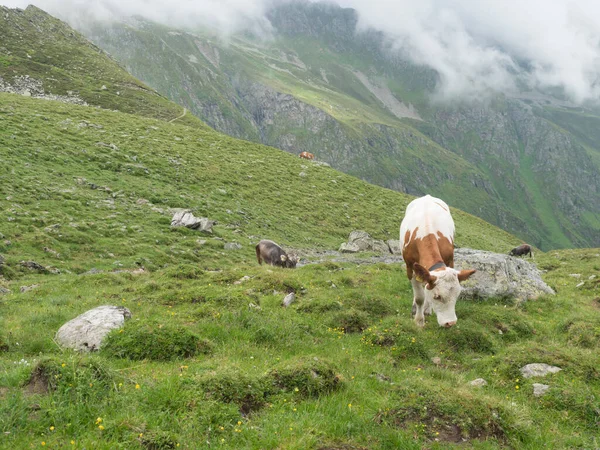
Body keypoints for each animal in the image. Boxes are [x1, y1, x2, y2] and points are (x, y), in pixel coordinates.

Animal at [400, 195, 476, 328]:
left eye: (457, 295)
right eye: (437, 296)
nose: (450, 323)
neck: (425, 233)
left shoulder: (450, 261)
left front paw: (425, 311)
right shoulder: (410, 267)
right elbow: (419, 297)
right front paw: (419, 320)